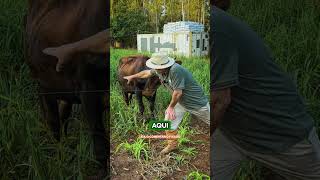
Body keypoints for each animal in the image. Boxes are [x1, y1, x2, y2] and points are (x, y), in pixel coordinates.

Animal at [25, 0, 110, 178]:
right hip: (43, 85)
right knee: (53, 123)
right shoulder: (88, 90)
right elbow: (100, 145)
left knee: (63, 117)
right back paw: (57, 157)